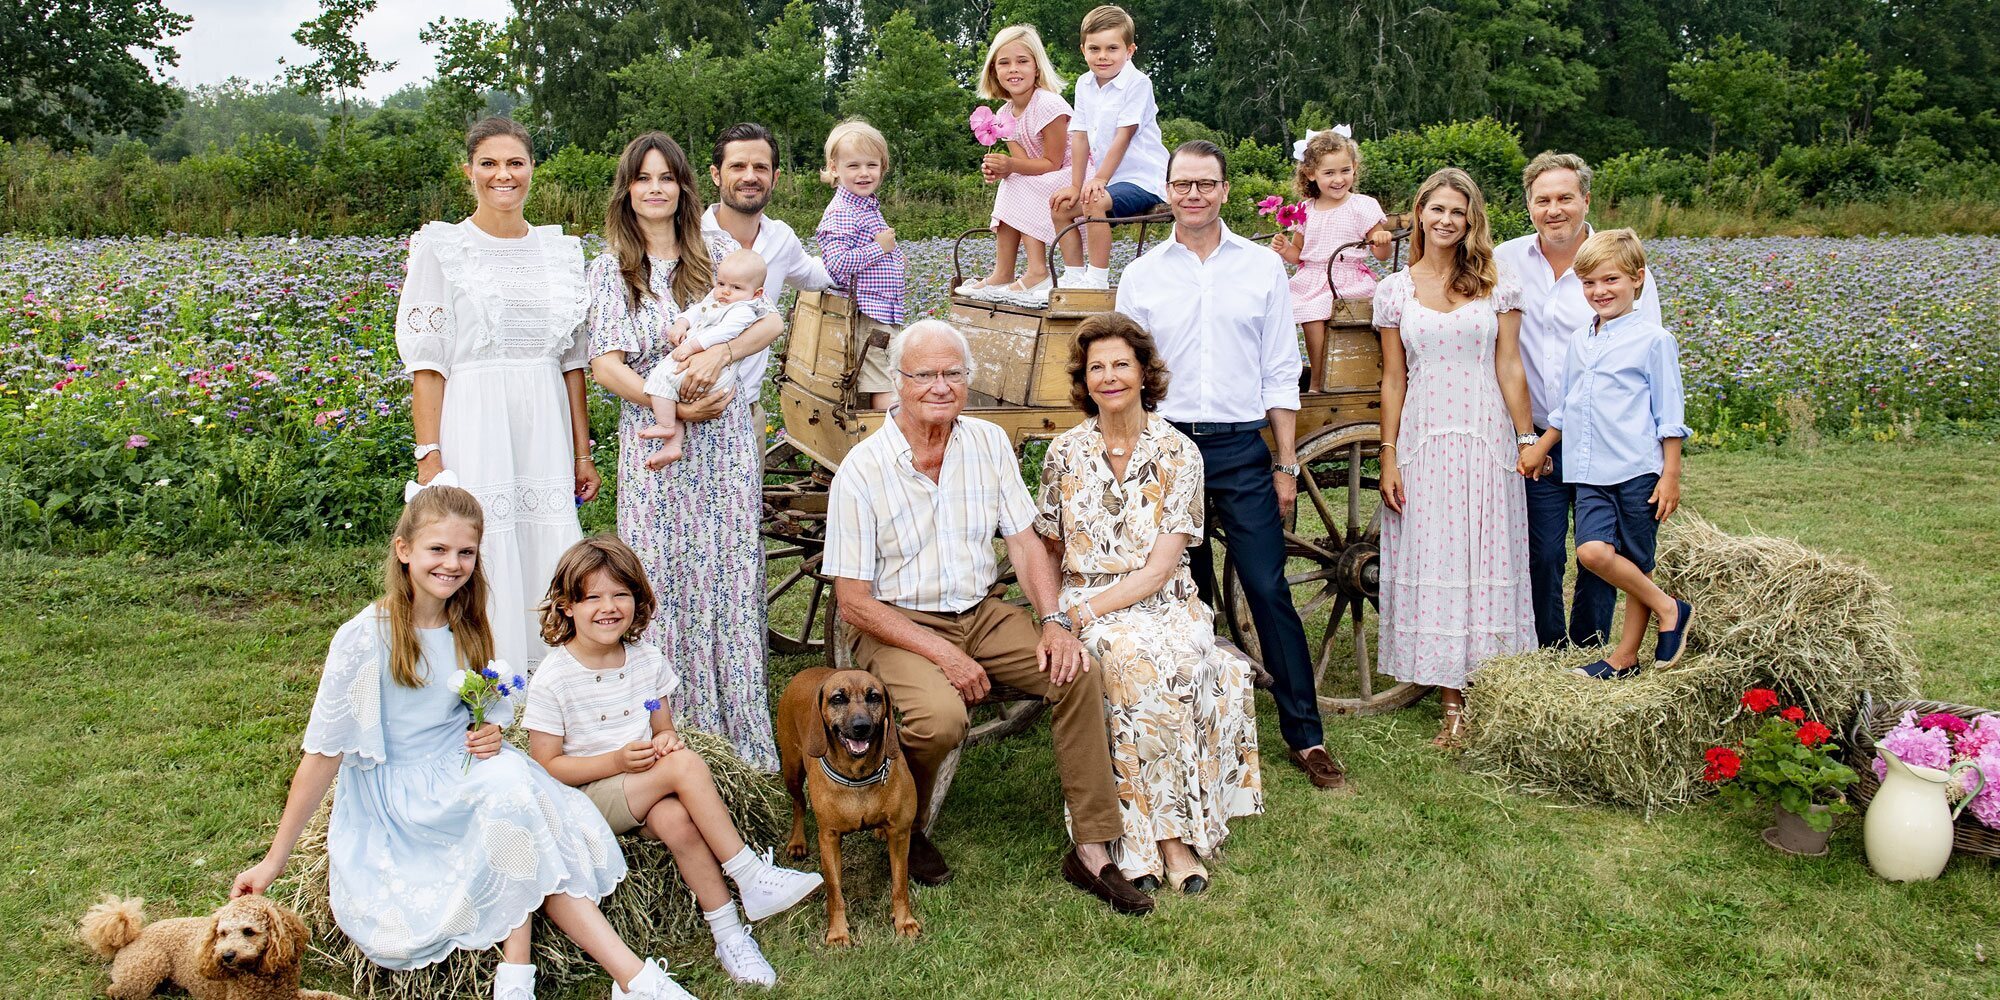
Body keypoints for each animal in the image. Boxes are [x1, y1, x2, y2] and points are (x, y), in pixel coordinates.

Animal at [78, 896, 350, 996]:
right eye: (222, 933)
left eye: (248, 931)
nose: (226, 955)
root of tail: (133, 936)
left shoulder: (290, 995)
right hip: (146, 967)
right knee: (119, 992)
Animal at [776, 664, 924, 944]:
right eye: (838, 698)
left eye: (874, 696)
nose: (861, 727)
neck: (859, 776)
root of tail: (807, 670)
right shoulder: (829, 838)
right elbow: (834, 891)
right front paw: (837, 933)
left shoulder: (900, 834)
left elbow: (899, 884)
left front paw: (904, 921)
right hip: (791, 769)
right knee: (798, 804)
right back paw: (797, 841)